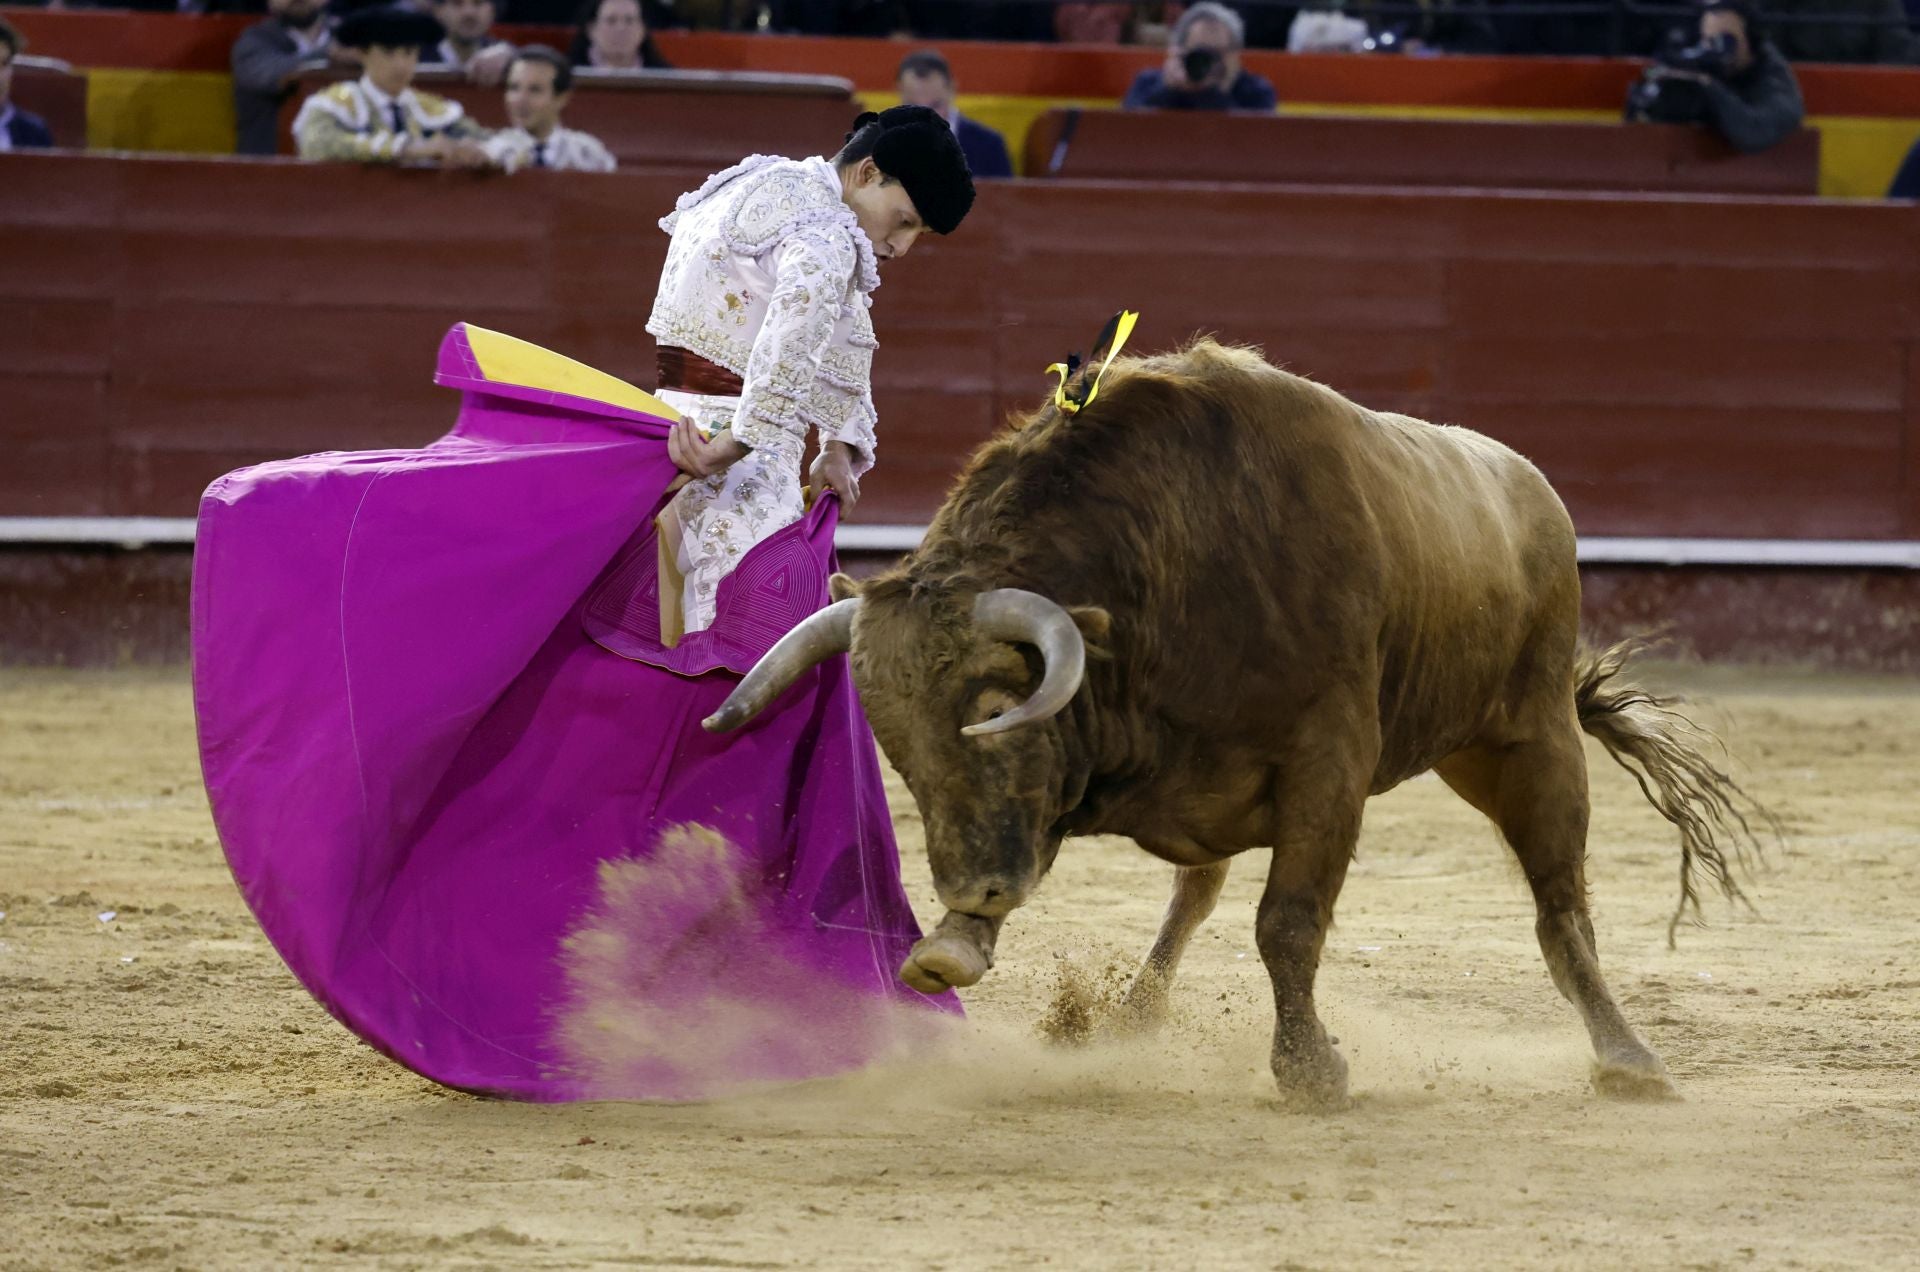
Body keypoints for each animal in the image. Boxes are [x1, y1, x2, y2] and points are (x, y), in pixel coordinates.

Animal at [702, 338, 1766, 1106]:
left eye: (999, 711)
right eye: (897, 748)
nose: (971, 890)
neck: (1164, 568)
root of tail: (1527, 484)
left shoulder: (1331, 765)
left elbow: (1287, 924)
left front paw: (1312, 1071)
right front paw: (952, 946)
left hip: (1525, 735)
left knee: (1559, 903)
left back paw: (1628, 1060)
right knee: (1197, 892)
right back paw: (1134, 1012)